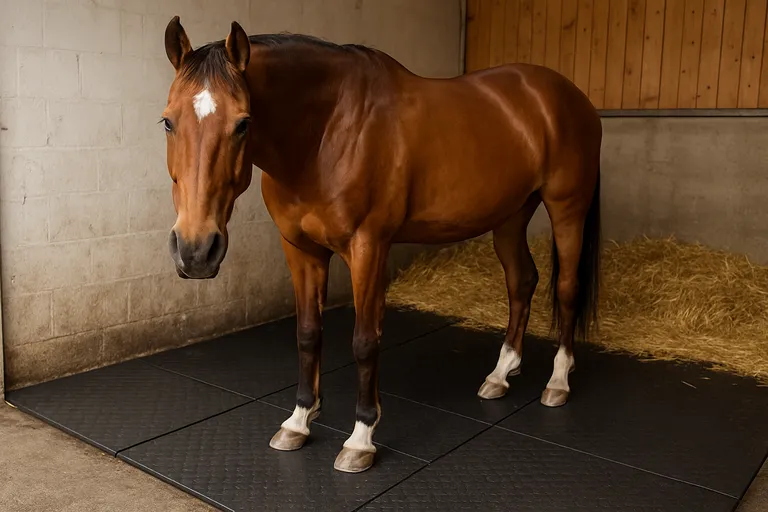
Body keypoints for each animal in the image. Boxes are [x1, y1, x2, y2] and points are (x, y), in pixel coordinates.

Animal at [161, 17, 602, 474]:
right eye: (168, 122)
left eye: (243, 123)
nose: (196, 250)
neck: (325, 133)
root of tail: (568, 96)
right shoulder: (301, 250)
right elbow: (307, 333)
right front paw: (298, 421)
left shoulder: (368, 248)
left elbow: (364, 340)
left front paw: (361, 439)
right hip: (511, 217)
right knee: (521, 282)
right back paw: (500, 374)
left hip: (567, 210)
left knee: (566, 289)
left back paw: (558, 382)